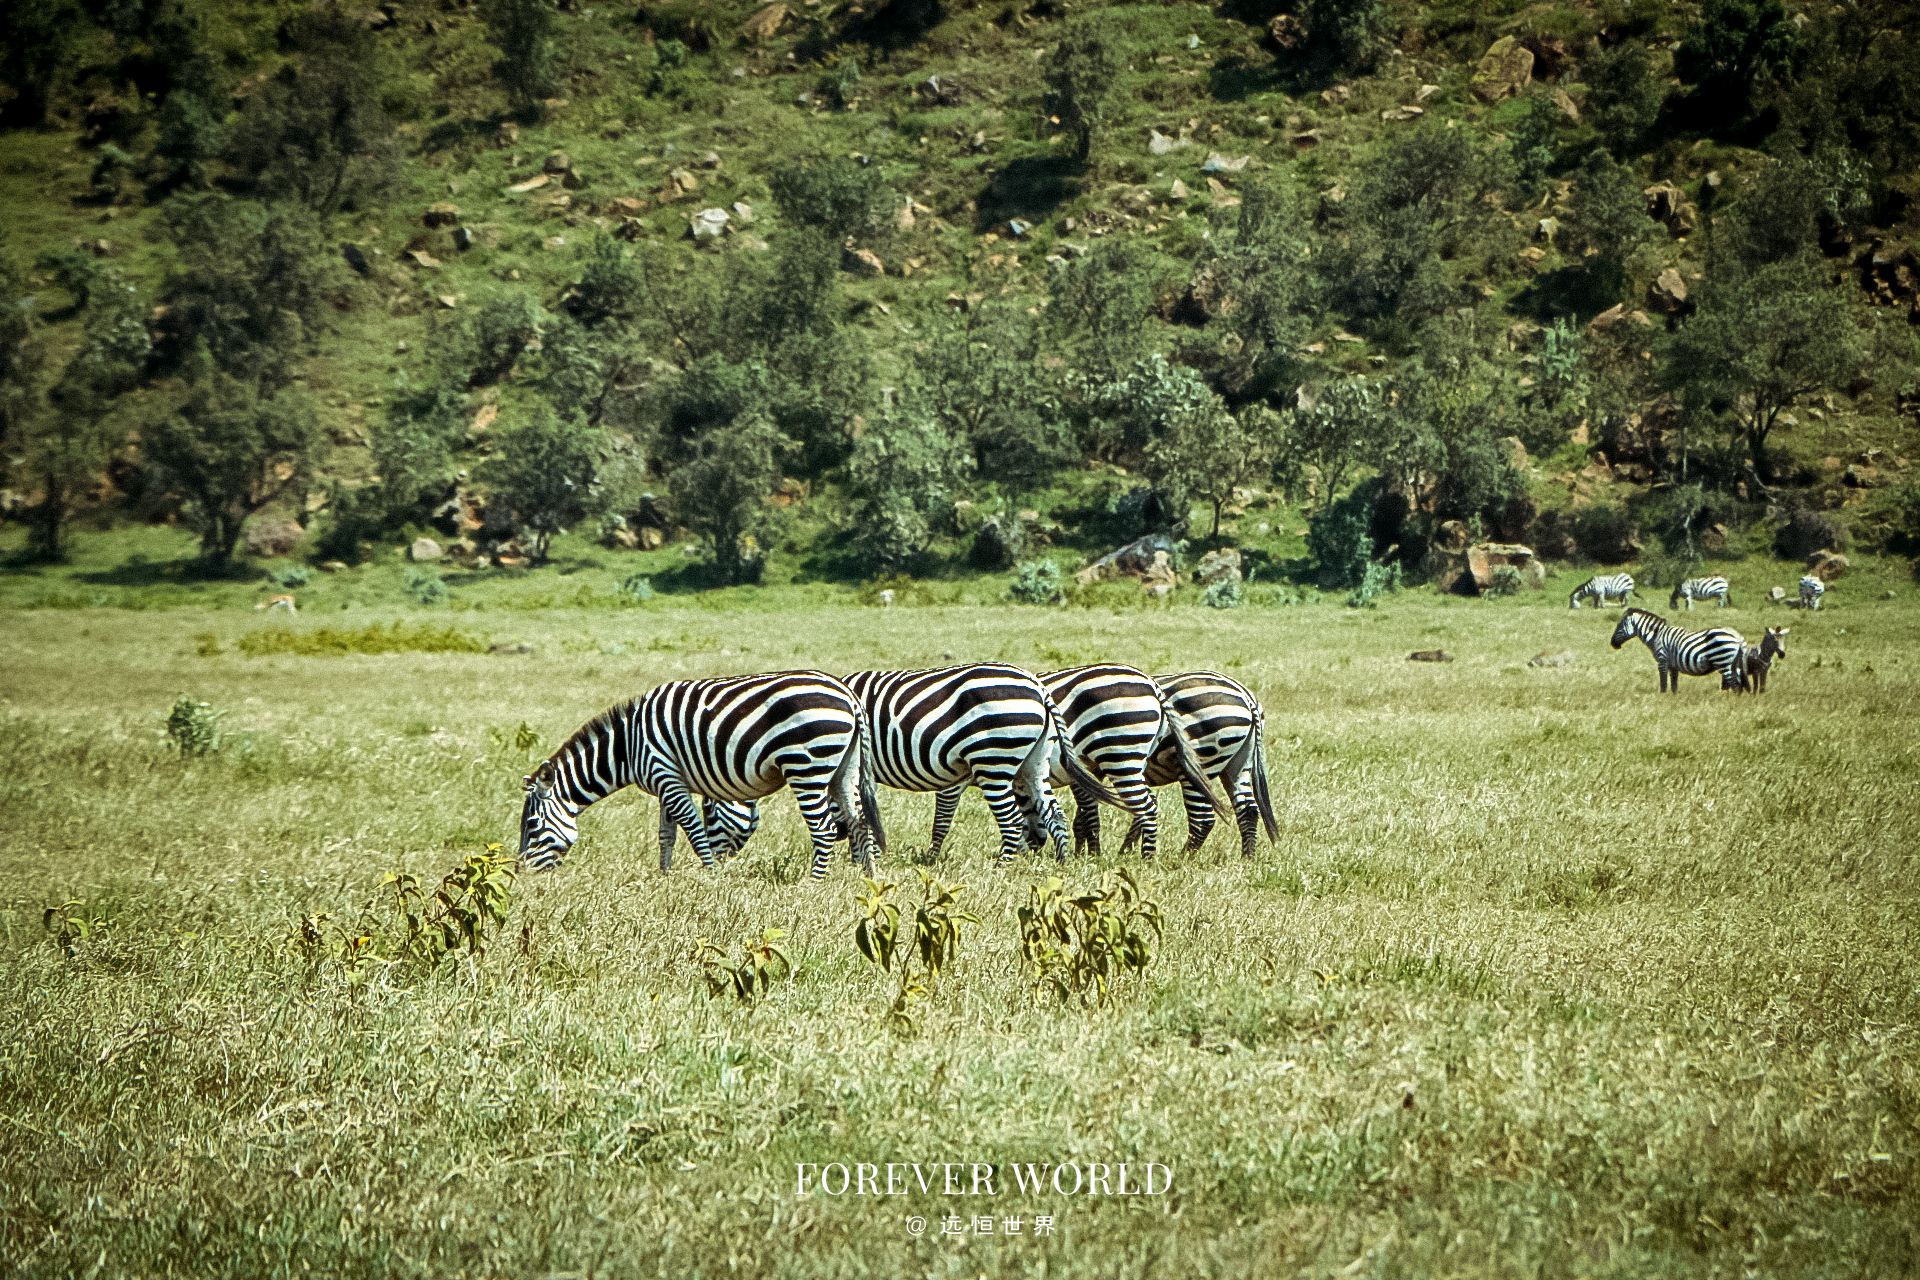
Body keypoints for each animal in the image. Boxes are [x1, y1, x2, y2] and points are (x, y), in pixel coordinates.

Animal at [522, 671, 887, 882]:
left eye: (531, 825)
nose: (522, 874)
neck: (627, 747)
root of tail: (848, 694)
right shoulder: (666, 782)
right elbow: (666, 834)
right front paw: (665, 878)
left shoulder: (665, 774)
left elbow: (694, 831)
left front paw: (711, 878)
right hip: (845, 767)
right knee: (859, 821)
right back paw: (870, 878)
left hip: (806, 765)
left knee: (824, 829)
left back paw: (812, 885)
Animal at [848, 667, 1121, 867]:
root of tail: (1039, 689)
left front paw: (864, 858)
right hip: (1035, 762)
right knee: (1055, 814)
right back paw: (1061, 863)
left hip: (993, 760)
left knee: (1013, 820)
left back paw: (1002, 867)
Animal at [1128, 671, 1282, 859]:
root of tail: (1246, 696)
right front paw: (1125, 852)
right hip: (1239, 764)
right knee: (1248, 810)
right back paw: (1247, 858)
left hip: (1199, 762)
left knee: (1202, 819)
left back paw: (1183, 859)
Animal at [1605, 610, 1758, 690]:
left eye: (1619, 626)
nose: (1612, 643)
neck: (1656, 635)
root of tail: (1737, 636)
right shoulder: (1673, 666)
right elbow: (1674, 686)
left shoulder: (1662, 660)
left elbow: (1663, 684)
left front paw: (1663, 699)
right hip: (1734, 664)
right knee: (1739, 685)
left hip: (1723, 661)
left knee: (1736, 686)